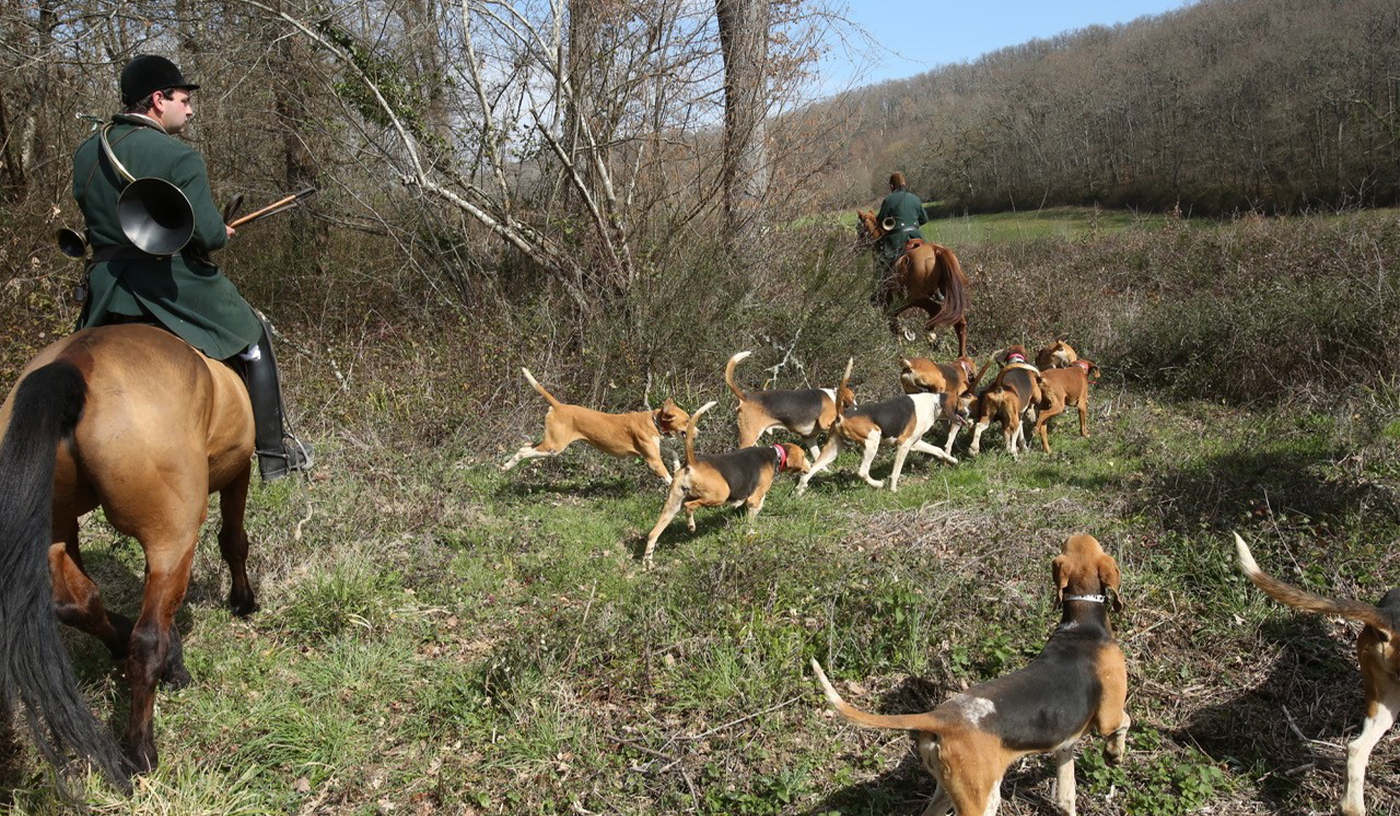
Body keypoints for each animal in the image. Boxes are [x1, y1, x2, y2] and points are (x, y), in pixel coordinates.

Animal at [504, 369, 688, 481]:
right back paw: (508, 465)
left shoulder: (654, 450)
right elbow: (668, 478)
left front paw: (677, 466)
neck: (652, 421)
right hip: (554, 446)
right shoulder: (653, 460)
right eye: (687, 420)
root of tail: (559, 405)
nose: (695, 430)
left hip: (550, 444)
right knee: (523, 453)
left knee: (525, 446)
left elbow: (672, 452)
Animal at [817, 531, 1131, 811]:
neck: (1082, 622)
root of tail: (940, 717)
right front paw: (1114, 754)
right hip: (982, 798)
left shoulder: (1064, 746)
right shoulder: (1107, 717)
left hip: (948, 793)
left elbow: (1066, 797)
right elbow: (1124, 720)